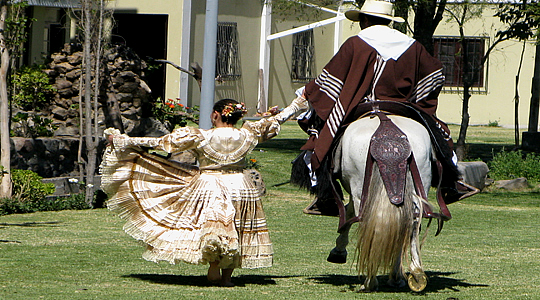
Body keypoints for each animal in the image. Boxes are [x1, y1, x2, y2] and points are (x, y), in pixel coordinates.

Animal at [330, 113, 434, 292]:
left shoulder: (355, 194)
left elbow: (349, 214)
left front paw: (339, 250)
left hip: (360, 192)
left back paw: (369, 281)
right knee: (410, 223)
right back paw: (414, 274)